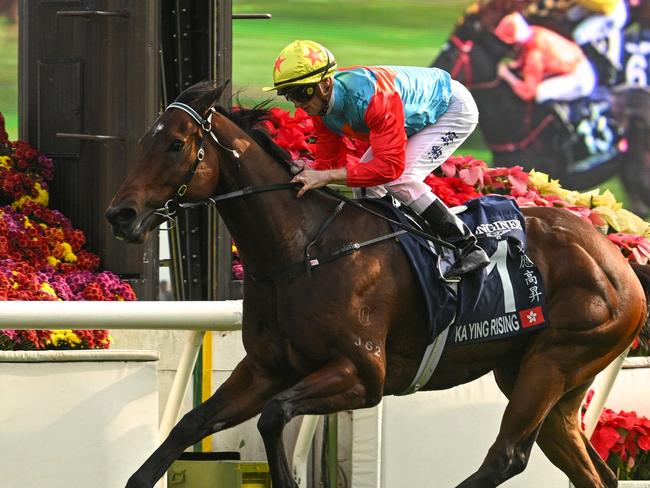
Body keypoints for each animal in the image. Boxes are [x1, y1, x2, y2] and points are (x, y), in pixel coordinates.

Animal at [106, 80, 648, 488]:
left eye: (176, 144)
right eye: (143, 142)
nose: (120, 214)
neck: (301, 251)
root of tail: (616, 257)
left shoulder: (363, 375)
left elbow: (274, 415)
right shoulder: (264, 369)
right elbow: (191, 423)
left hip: (556, 359)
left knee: (507, 456)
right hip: (543, 377)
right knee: (591, 472)